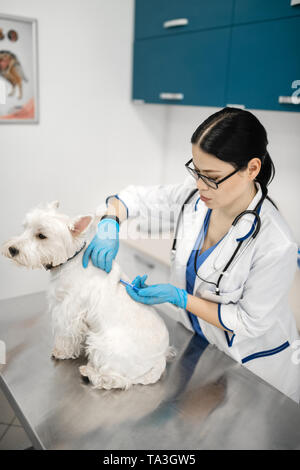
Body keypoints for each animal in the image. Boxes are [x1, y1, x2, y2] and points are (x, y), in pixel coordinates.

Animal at [1, 201, 176, 390]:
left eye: (41, 236)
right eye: (25, 227)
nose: (12, 249)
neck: (70, 260)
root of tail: (159, 359)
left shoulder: (68, 311)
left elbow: (66, 335)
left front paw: (61, 351)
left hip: (104, 346)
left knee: (116, 379)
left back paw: (91, 372)